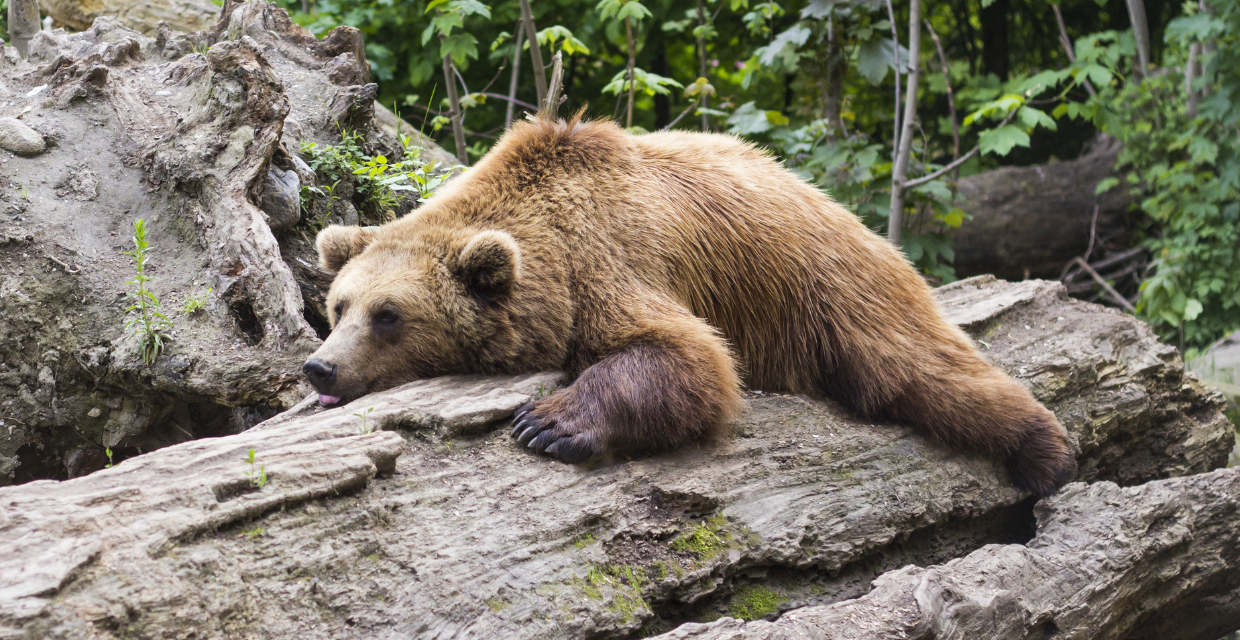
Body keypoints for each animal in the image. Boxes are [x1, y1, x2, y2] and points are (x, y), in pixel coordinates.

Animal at [307, 112, 1076, 498]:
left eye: (389, 315)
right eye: (339, 307)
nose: (321, 368)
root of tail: (826, 198)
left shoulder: (612, 262)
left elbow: (688, 357)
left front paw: (548, 424)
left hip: (829, 286)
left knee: (918, 369)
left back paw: (1047, 452)